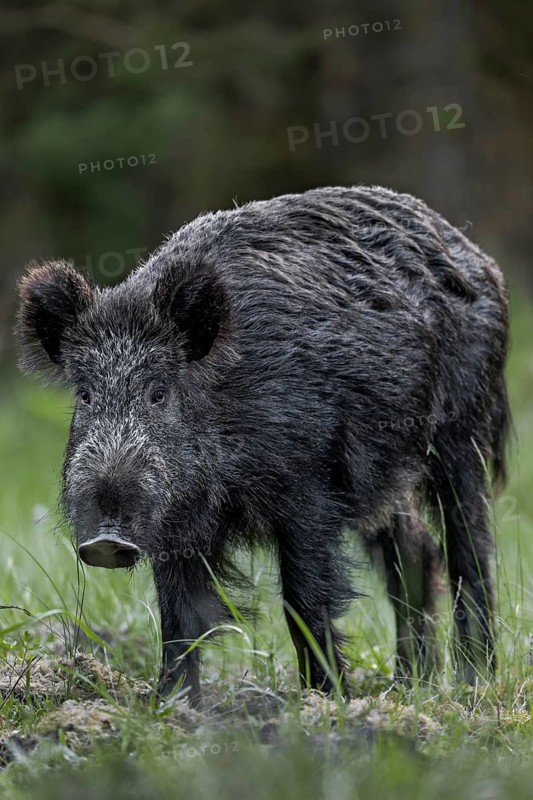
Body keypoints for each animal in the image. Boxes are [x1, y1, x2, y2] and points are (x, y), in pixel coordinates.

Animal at [16, 185, 510, 702]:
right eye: (86, 395)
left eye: (159, 393)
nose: (105, 540)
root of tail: (482, 263)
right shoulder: (176, 524)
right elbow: (178, 614)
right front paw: (171, 703)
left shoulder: (309, 488)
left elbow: (304, 599)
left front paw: (325, 699)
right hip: (384, 476)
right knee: (417, 553)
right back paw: (409, 686)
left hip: (462, 430)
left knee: (470, 549)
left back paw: (474, 682)